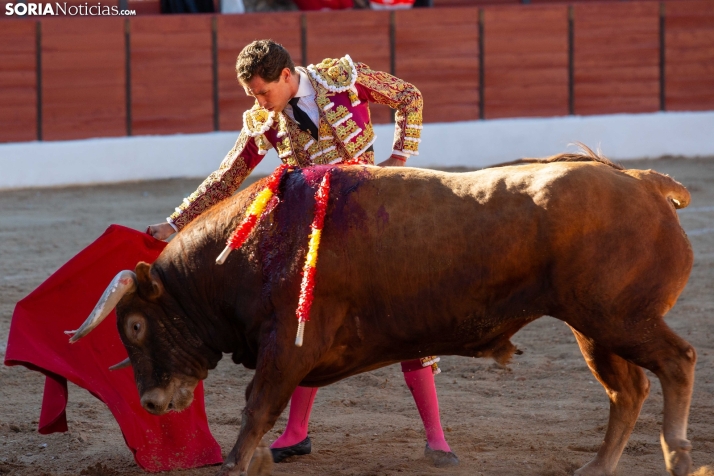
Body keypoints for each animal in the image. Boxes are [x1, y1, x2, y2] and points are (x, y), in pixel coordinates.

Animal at [68, 152, 696, 476]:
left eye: (135, 326)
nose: (151, 403)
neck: (248, 247)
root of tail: (642, 180)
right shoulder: (293, 348)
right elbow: (267, 408)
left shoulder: (288, 345)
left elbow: (256, 407)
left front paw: (235, 464)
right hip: (594, 327)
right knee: (628, 390)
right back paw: (598, 467)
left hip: (615, 318)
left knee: (677, 362)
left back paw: (679, 454)